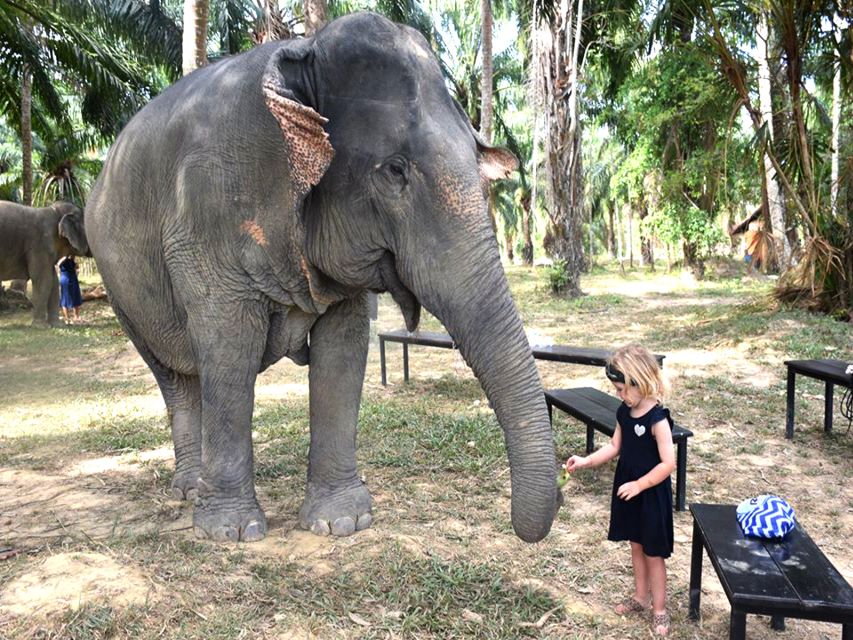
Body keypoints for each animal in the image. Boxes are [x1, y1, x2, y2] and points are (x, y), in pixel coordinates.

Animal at [85, 12, 560, 543]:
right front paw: (233, 533)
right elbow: (231, 345)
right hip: (119, 286)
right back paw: (190, 490)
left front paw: (342, 522)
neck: (303, 56)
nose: (528, 523)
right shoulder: (206, 211)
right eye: (395, 171)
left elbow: (343, 347)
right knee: (175, 375)